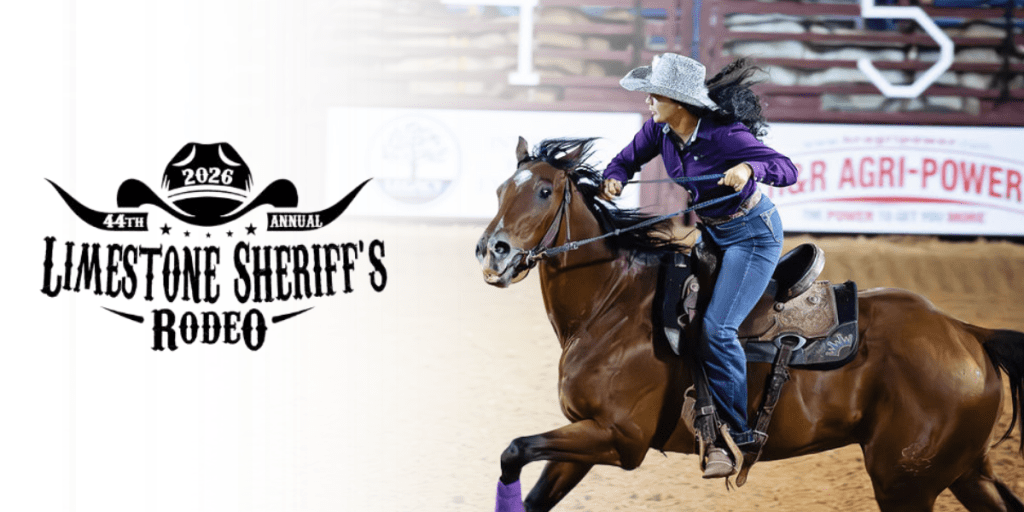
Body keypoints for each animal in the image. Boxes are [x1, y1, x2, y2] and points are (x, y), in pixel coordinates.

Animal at [475, 136, 1024, 512]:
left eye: (545, 190)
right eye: (500, 189)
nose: (491, 251)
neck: (613, 305)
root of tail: (967, 333)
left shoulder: (618, 437)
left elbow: (513, 450)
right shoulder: (584, 437)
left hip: (904, 482)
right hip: (963, 472)